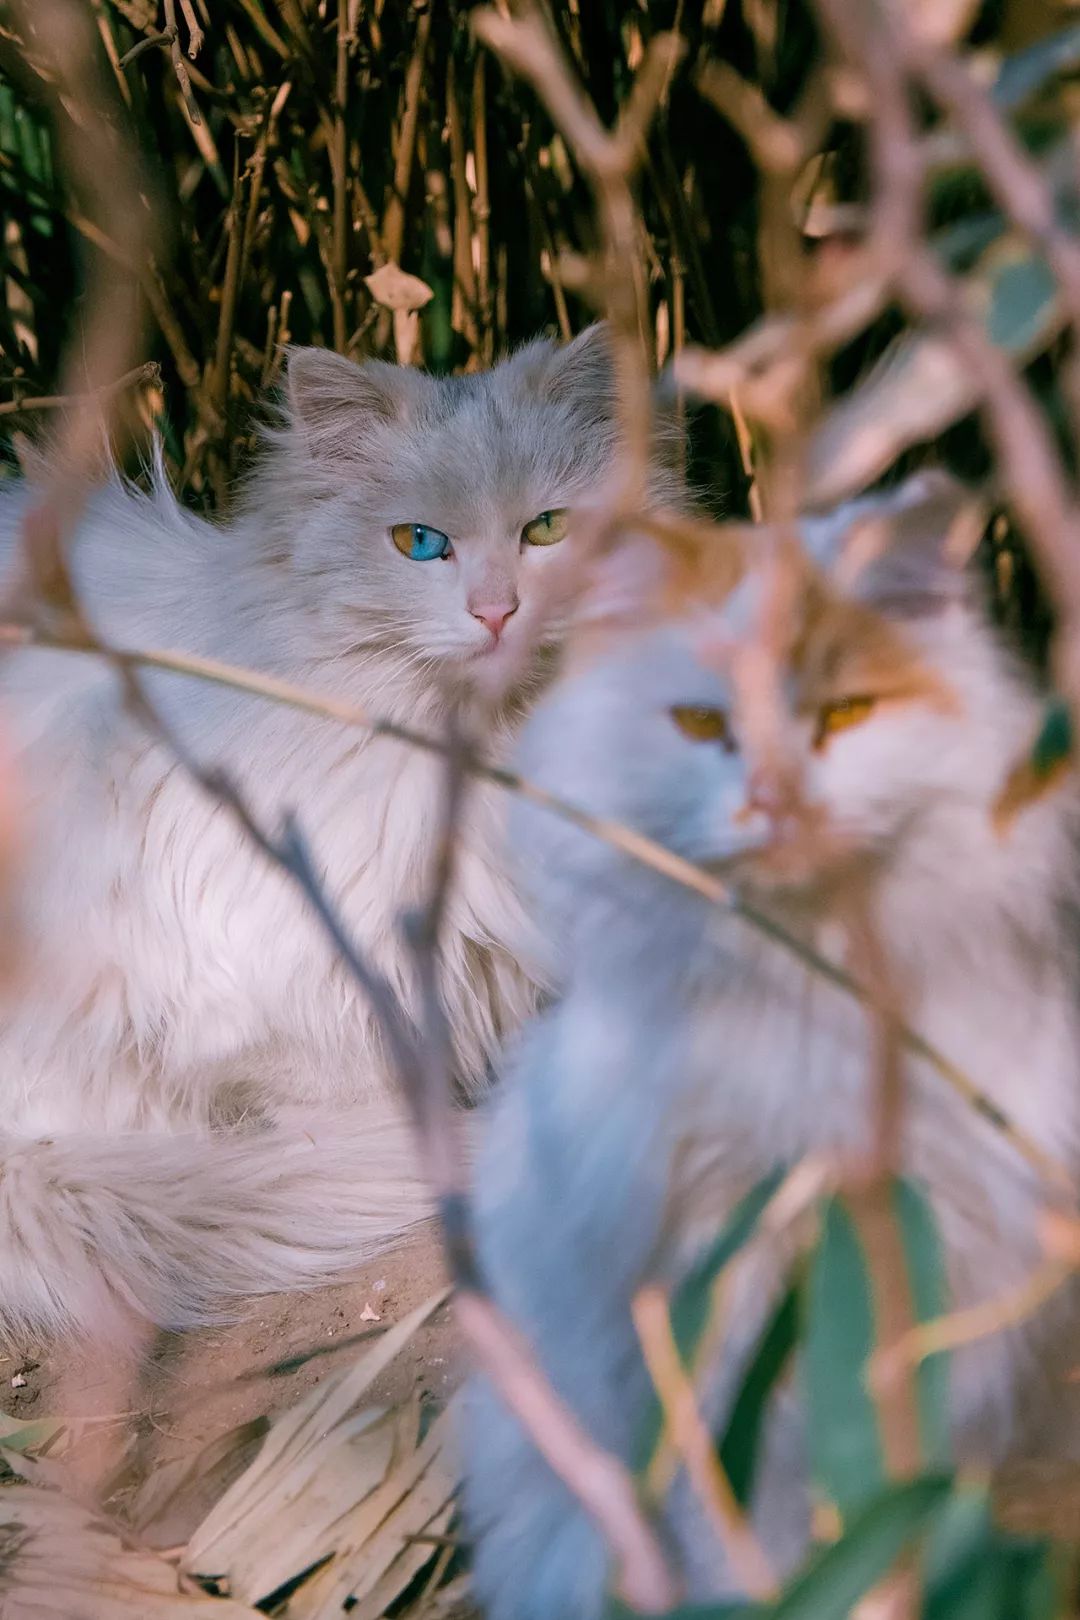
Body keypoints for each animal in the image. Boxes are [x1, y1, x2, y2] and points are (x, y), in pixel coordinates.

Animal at [463, 473, 1080, 1620]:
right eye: (703, 724)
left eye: (844, 716)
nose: (776, 802)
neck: (815, 1001)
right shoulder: (714, 1333)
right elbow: (752, 1538)